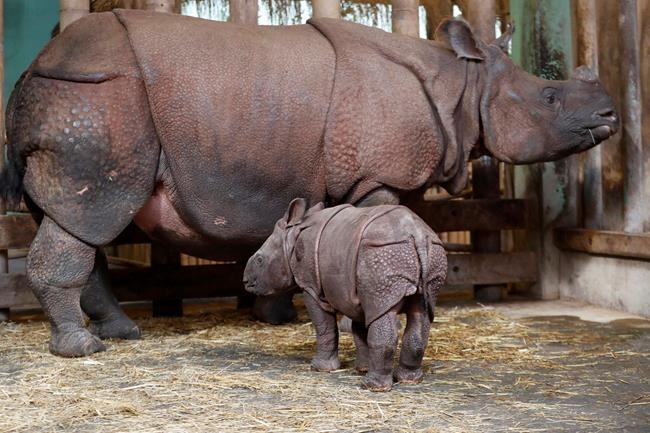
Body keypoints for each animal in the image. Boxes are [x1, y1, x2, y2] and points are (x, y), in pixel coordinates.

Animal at [0, 10, 618, 357]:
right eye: (549, 96)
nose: (611, 115)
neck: (462, 84)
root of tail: (31, 67)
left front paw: (274, 316)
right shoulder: (376, 176)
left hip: (81, 98)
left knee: (75, 220)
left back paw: (121, 333)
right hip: (98, 97)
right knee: (92, 213)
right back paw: (84, 350)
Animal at [244, 199, 448, 391]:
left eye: (260, 260)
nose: (245, 281)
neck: (291, 238)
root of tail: (418, 234)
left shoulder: (311, 287)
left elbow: (324, 326)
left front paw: (320, 368)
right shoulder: (355, 292)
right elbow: (360, 328)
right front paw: (362, 368)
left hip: (382, 253)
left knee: (385, 314)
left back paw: (371, 387)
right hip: (426, 253)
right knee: (420, 313)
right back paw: (409, 380)